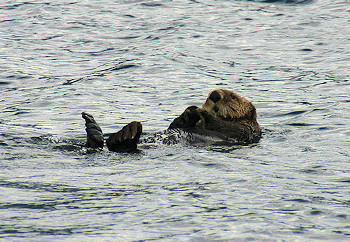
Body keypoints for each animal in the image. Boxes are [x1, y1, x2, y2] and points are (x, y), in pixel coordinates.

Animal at [81, 89, 260, 151]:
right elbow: (175, 124)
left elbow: (226, 126)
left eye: (233, 97)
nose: (214, 94)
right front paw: (188, 112)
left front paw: (198, 110)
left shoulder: (246, 130)